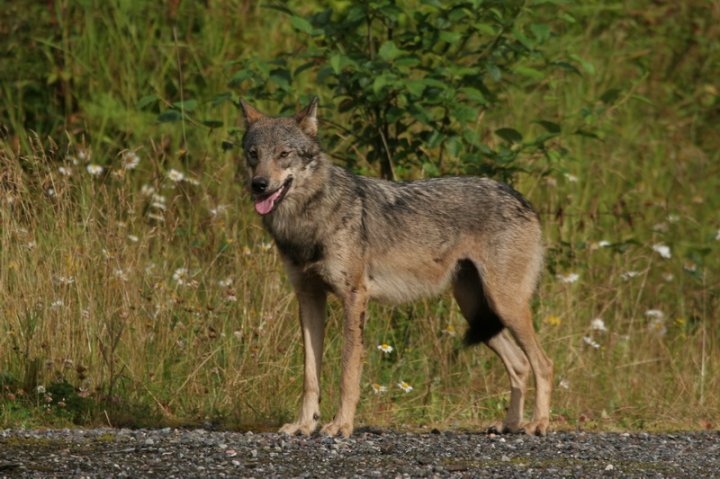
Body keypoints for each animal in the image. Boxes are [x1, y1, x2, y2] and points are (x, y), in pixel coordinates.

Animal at [239, 97, 556, 438]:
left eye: (284, 154)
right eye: (254, 154)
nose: (259, 185)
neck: (308, 220)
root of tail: (521, 198)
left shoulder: (354, 298)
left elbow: (348, 371)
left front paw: (341, 425)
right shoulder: (309, 298)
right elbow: (310, 376)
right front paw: (304, 424)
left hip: (504, 305)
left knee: (543, 363)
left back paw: (538, 423)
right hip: (476, 310)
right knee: (520, 364)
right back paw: (510, 424)